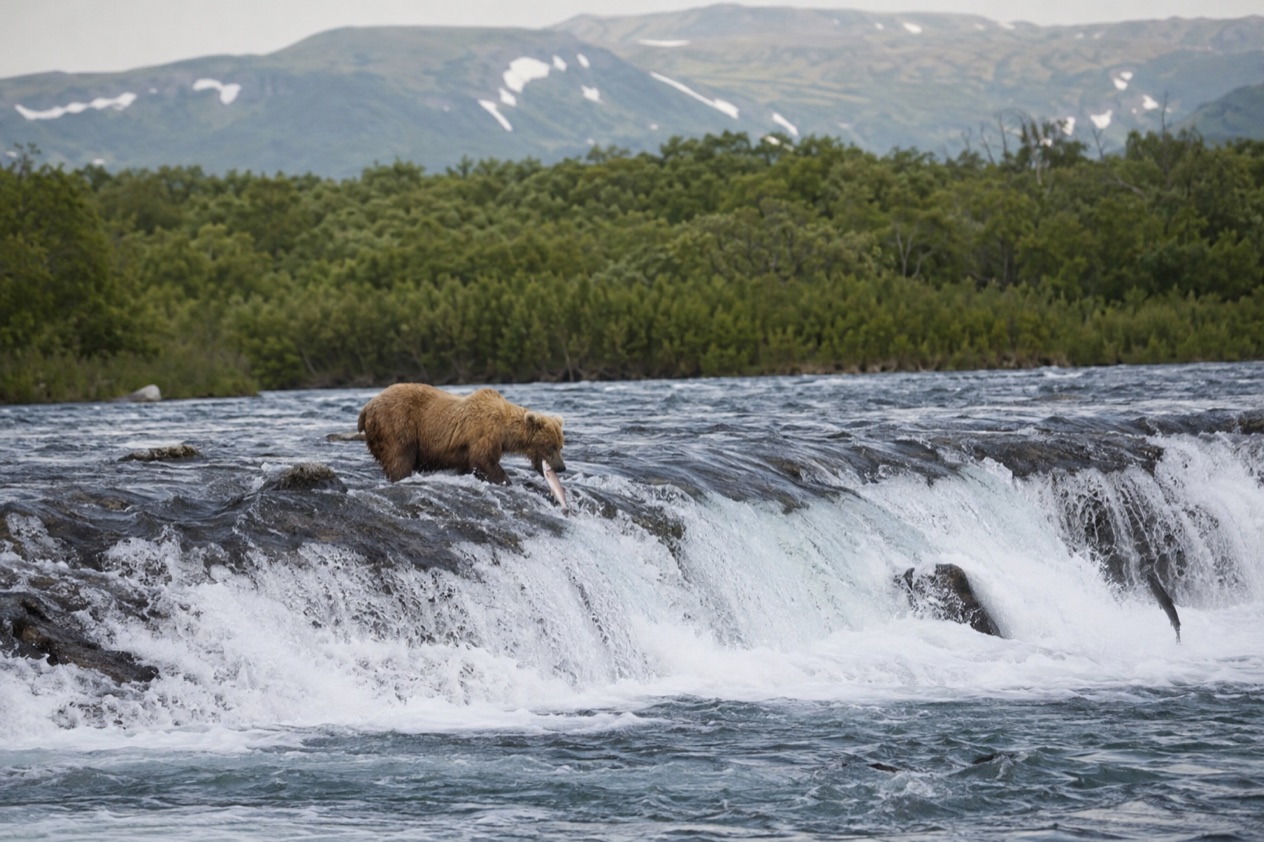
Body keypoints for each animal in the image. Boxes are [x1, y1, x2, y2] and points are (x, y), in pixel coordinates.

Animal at [357, 383, 566, 486]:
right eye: (550, 446)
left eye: (560, 446)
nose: (561, 467)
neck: (504, 432)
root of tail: (367, 407)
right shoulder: (483, 434)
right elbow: (484, 460)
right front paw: (505, 480)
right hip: (397, 423)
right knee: (399, 456)